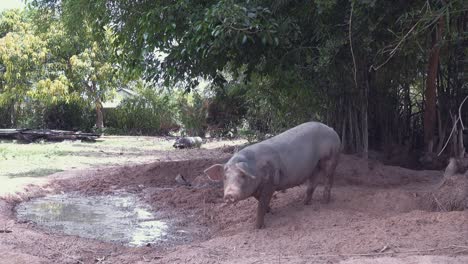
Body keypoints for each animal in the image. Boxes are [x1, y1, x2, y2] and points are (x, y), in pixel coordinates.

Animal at [205, 121, 340, 229]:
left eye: (242, 176)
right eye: (225, 177)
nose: (229, 195)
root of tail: (332, 130)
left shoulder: (270, 183)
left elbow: (261, 205)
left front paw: (258, 227)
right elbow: (261, 202)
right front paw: (270, 211)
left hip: (331, 157)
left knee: (329, 178)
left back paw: (324, 202)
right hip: (314, 165)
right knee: (313, 182)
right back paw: (305, 203)